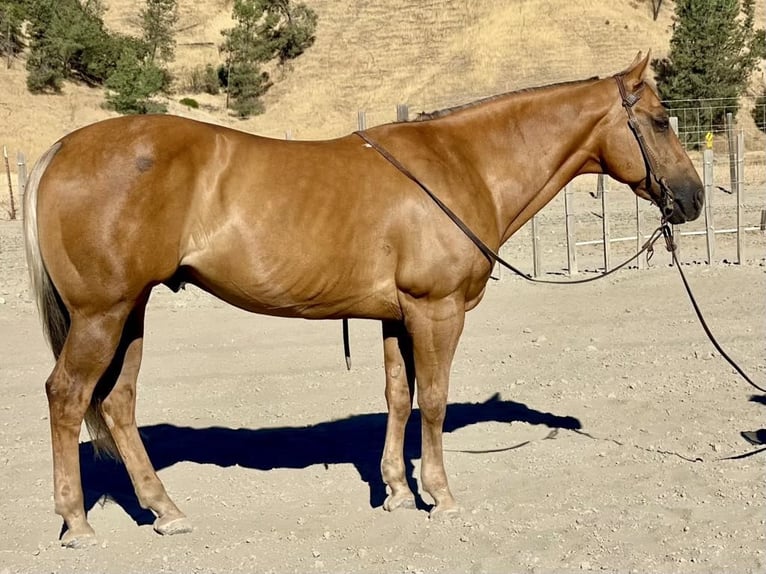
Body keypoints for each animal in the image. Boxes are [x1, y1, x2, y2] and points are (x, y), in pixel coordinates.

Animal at [24, 52, 703, 547]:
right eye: (660, 120)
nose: (694, 199)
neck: (463, 164)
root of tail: (60, 150)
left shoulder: (398, 317)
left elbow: (399, 398)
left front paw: (399, 491)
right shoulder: (436, 311)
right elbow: (434, 403)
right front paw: (441, 496)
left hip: (131, 313)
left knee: (117, 403)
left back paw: (165, 509)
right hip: (101, 315)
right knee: (68, 396)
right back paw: (77, 523)